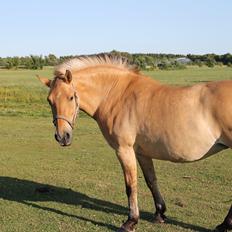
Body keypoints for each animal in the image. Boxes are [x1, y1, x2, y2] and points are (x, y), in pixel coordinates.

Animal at [38, 55, 232, 231]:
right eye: (50, 100)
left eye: (71, 97)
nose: (62, 136)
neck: (117, 94)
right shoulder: (141, 152)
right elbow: (151, 181)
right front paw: (160, 214)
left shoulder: (124, 150)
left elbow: (131, 186)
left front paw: (131, 221)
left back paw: (224, 224)